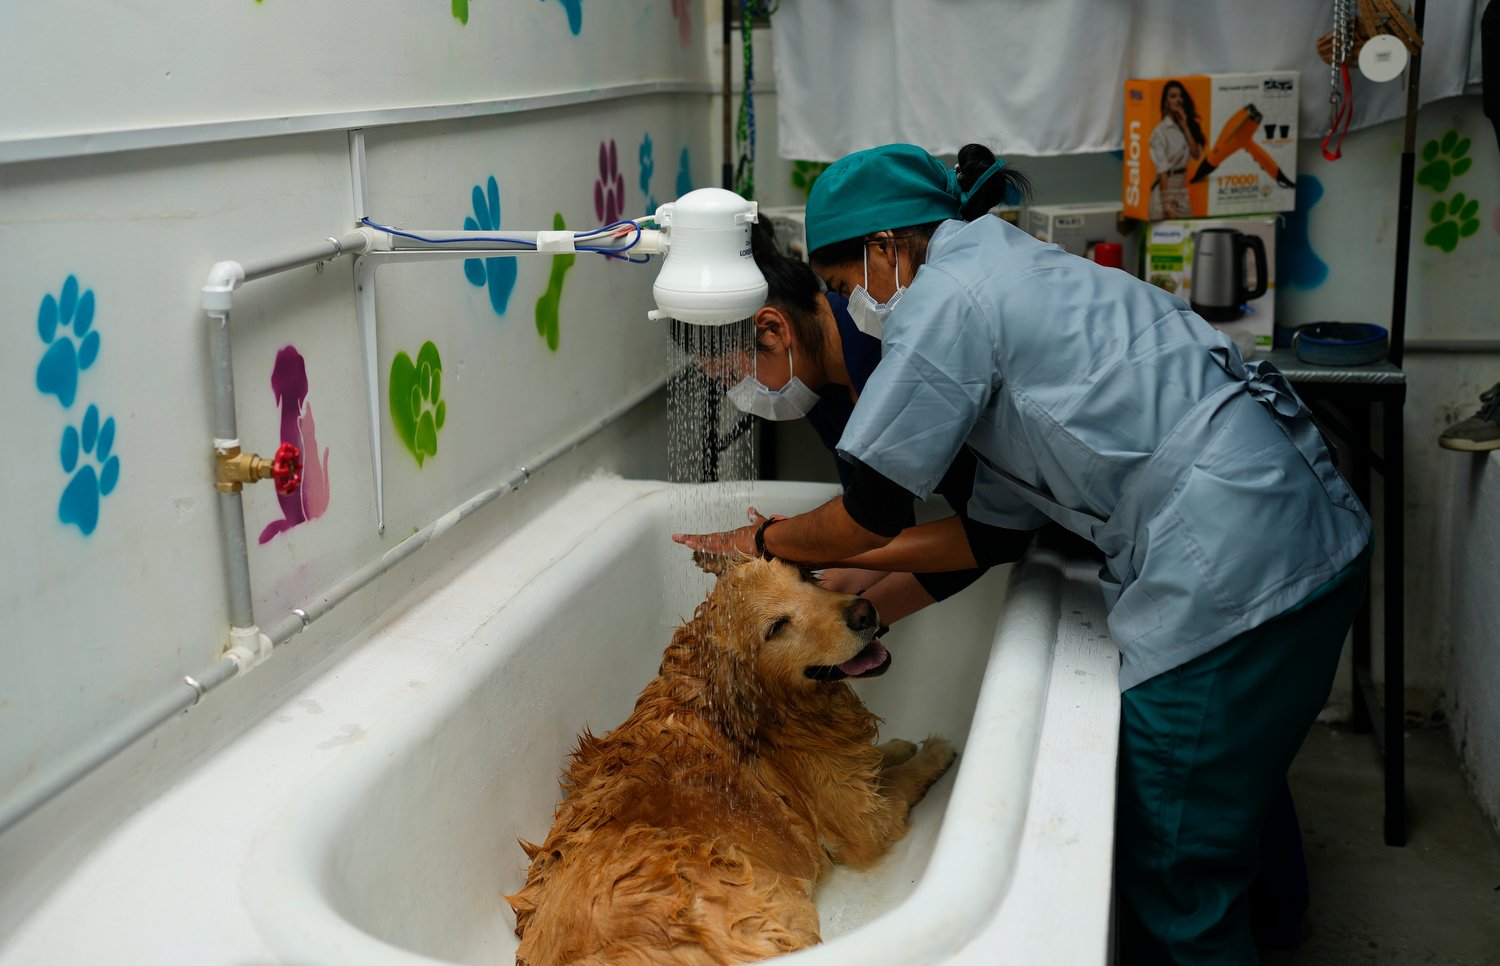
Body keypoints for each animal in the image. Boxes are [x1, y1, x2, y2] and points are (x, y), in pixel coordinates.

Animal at [501, 555, 948, 960]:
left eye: (805, 576)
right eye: (777, 627)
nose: (864, 611)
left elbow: (877, 761)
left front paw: (896, 748)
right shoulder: (865, 824)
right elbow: (903, 780)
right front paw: (934, 750)